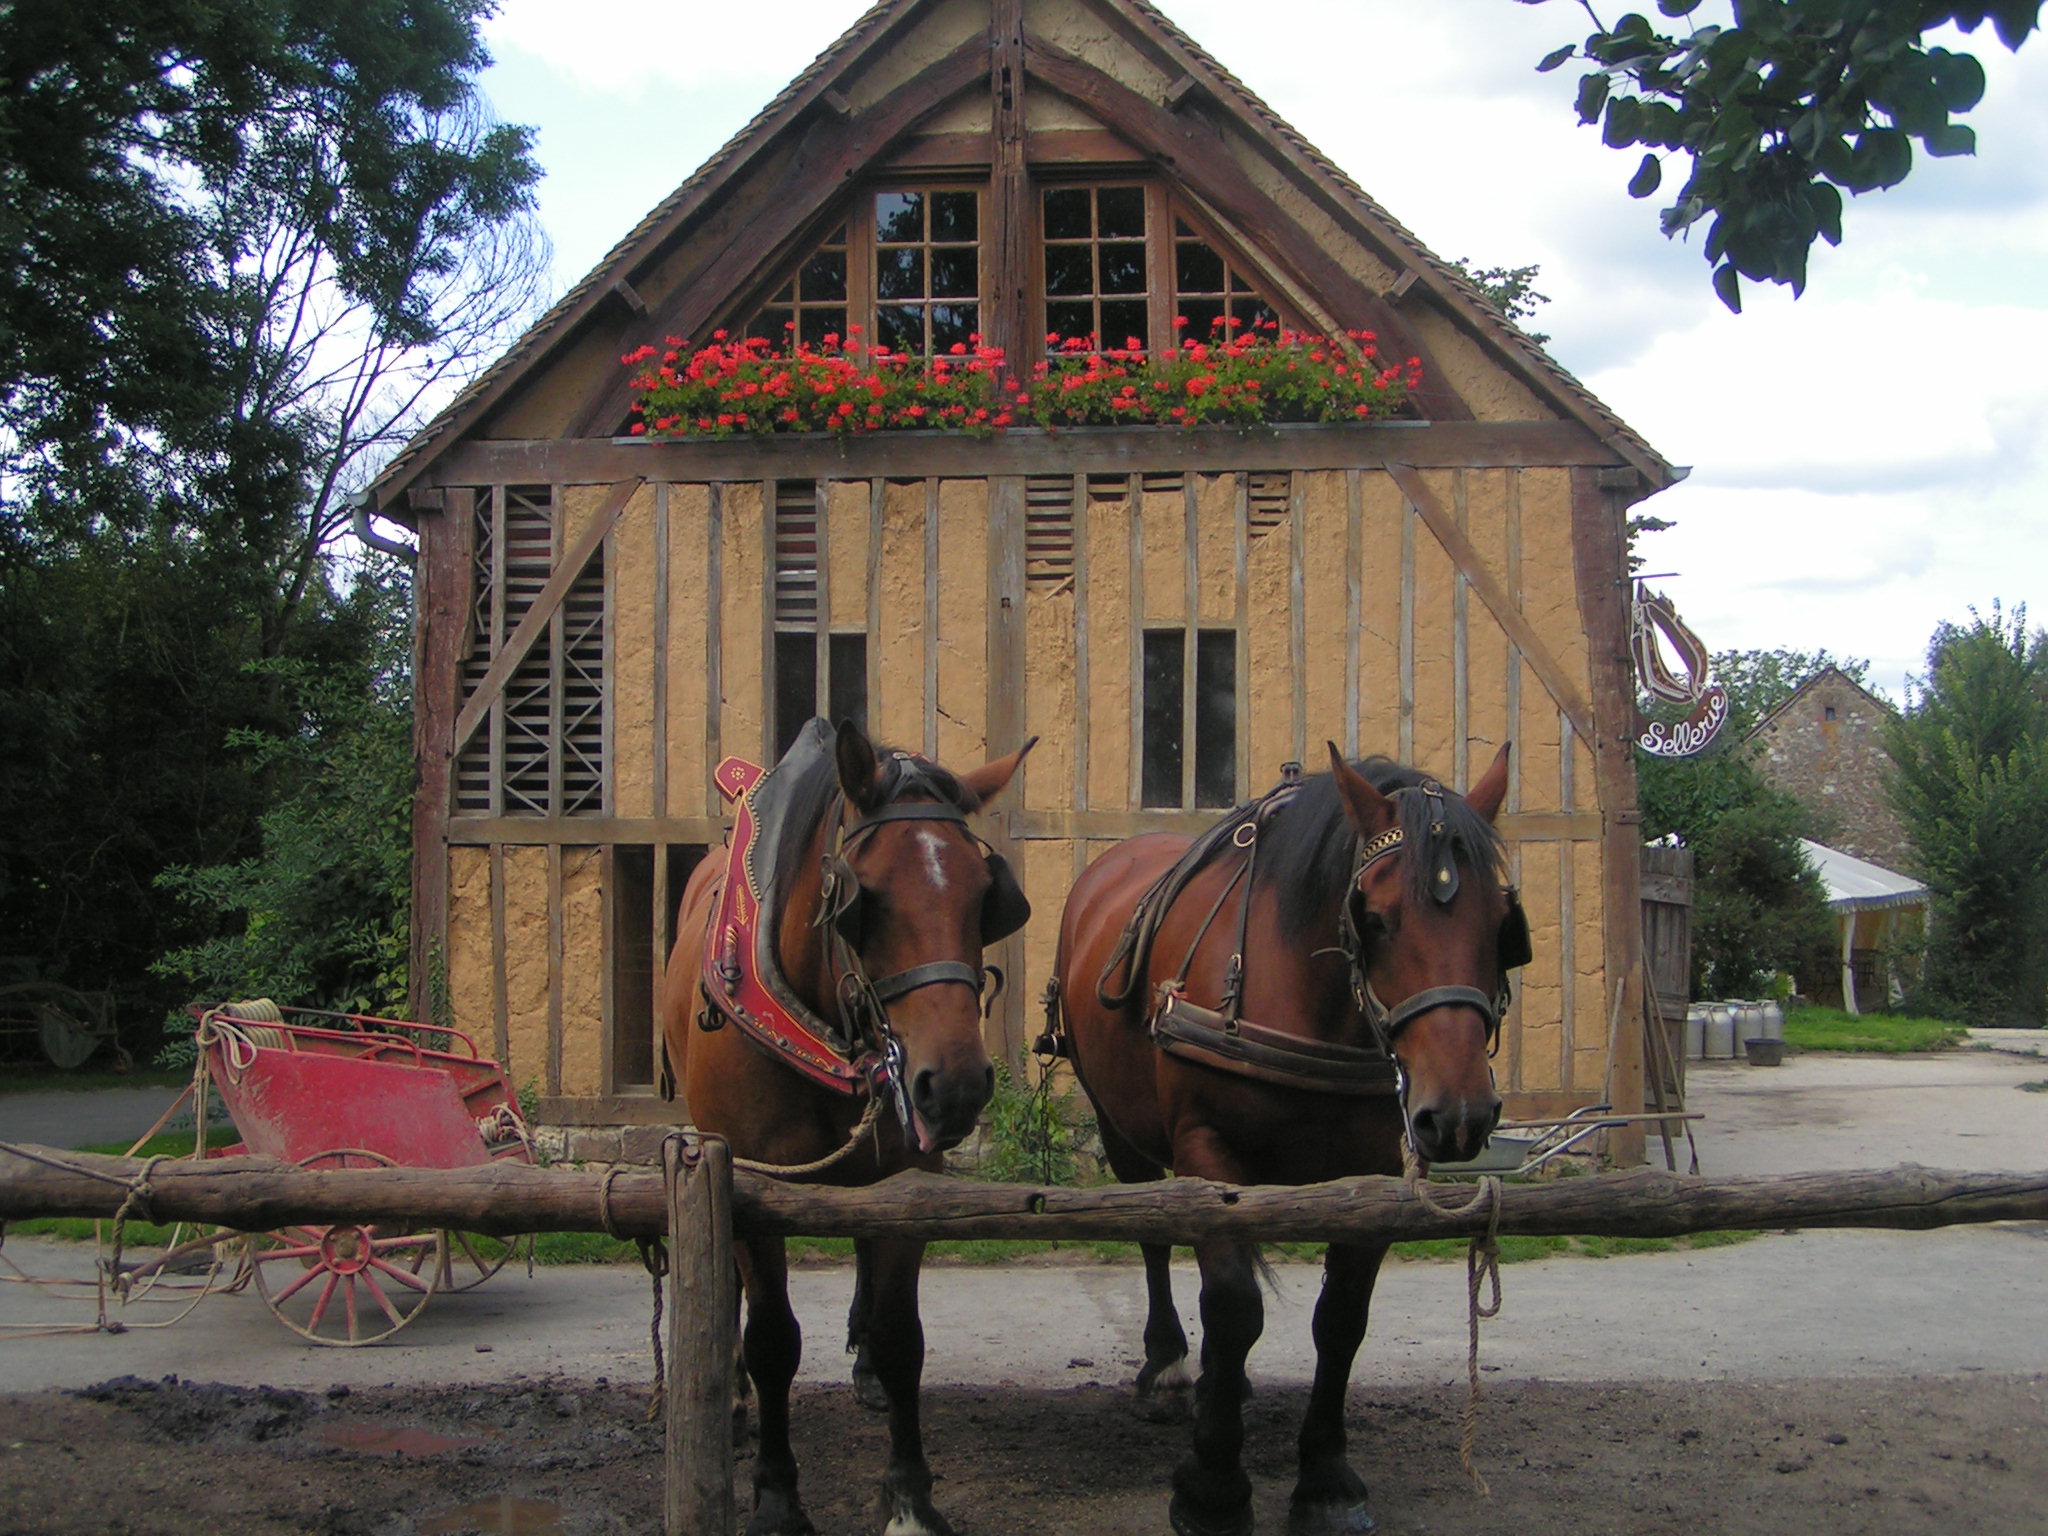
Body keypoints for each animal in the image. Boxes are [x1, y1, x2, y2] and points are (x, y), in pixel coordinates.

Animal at [659, 720, 1032, 1536]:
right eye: (867, 899)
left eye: (986, 898)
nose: (954, 1087)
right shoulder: (752, 1187)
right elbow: (772, 1339)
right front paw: (775, 1495)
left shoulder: (906, 1181)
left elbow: (901, 1336)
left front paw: (910, 1493)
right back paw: (732, 1397)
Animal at [1056, 745, 1523, 1536]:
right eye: (1375, 918)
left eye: (1501, 925)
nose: (1457, 1113)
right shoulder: (1208, 1154)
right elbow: (1234, 1305)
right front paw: (1213, 1485)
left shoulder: (1373, 1181)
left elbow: (1340, 1321)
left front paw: (1326, 1478)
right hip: (1122, 1127)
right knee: (1154, 1236)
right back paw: (1171, 1366)